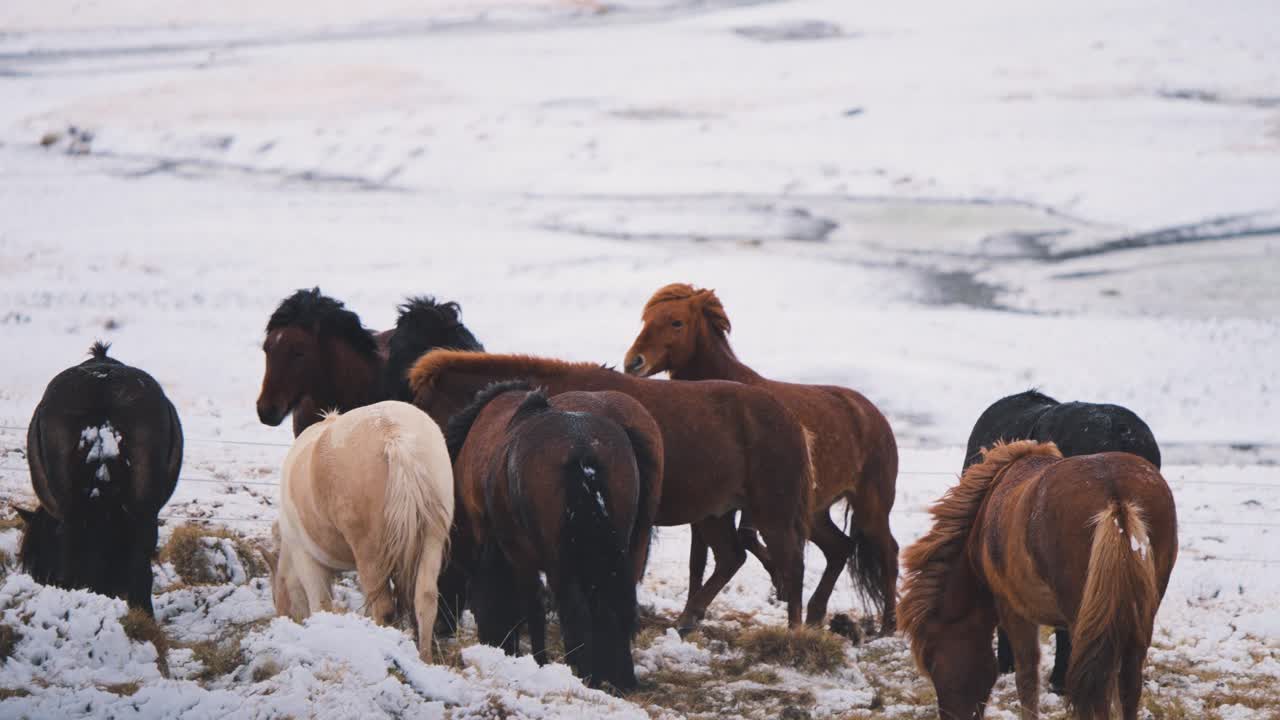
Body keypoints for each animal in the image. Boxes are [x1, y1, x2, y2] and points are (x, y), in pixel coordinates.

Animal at [268, 401, 454, 662]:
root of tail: (393, 434)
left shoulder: (307, 560)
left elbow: (321, 605)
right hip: (431, 540)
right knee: (426, 599)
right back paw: (424, 659)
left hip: (371, 552)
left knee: (384, 608)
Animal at [409, 350, 813, 632]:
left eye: (427, 405)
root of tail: (790, 420)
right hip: (715, 513)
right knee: (732, 557)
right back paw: (687, 619)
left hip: (771, 512)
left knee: (791, 563)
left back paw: (794, 630)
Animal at [445, 381, 663, 690]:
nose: (495, 647)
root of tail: (582, 448)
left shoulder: (519, 556)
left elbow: (532, 609)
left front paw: (540, 662)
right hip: (626, 547)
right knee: (617, 606)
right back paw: (620, 678)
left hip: (560, 561)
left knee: (576, 612)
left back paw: (587, 675)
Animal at [622, 284, 899, 633]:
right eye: (646, 319)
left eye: (676, 322)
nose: (633, 362)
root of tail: (874, 415)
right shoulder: (709, 505)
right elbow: (698, 562)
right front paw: (691, 615)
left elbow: (742, 541)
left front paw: (777, 583)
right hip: (817, 511)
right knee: (840, 548)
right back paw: (815, 615)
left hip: (870, 505)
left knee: (888, 553)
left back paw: (887, 627)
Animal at [898, 440, 1177, 720]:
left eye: (932, 660)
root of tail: (1116, 495)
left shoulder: (1014, 611)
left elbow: (1027, 678)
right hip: (1138, 616)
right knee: (1128, 685)